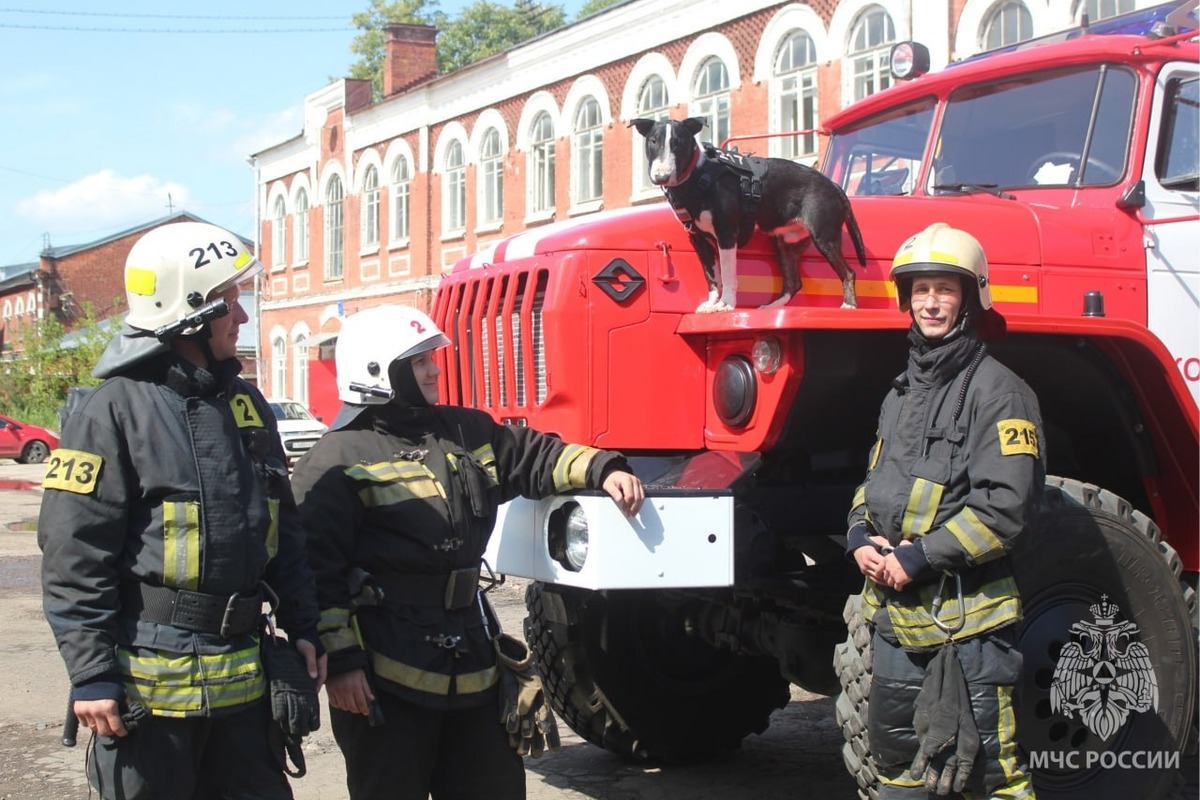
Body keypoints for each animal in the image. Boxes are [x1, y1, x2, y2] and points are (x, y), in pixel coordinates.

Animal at [628, 115, 864, 311]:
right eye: (653, 141)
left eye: (680, 142)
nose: (661, 176)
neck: (697, 175)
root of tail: (833, 185)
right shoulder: (697, 238)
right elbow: (711, 275)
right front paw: (712, 303)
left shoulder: (726, 233)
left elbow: (727, 273)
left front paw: (726, 304)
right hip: (785, 243)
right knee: (793, 283)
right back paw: (771, 307)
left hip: (824, 237)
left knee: (848, 272)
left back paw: (849, 305)